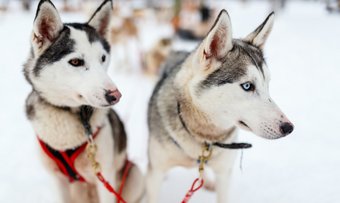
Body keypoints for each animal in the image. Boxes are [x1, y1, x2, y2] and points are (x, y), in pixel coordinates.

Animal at [23, 0, 143, 202]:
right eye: (76, 62)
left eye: (103, 58)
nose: (115, 95)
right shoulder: (58, 180)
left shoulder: (105, 177)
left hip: (133, 175)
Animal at [147, 9, 294, 203]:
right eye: (247, 86)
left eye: (267, 84)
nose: (289, 128)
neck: (204, 137)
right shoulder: (154, 175)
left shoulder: (224, 174)